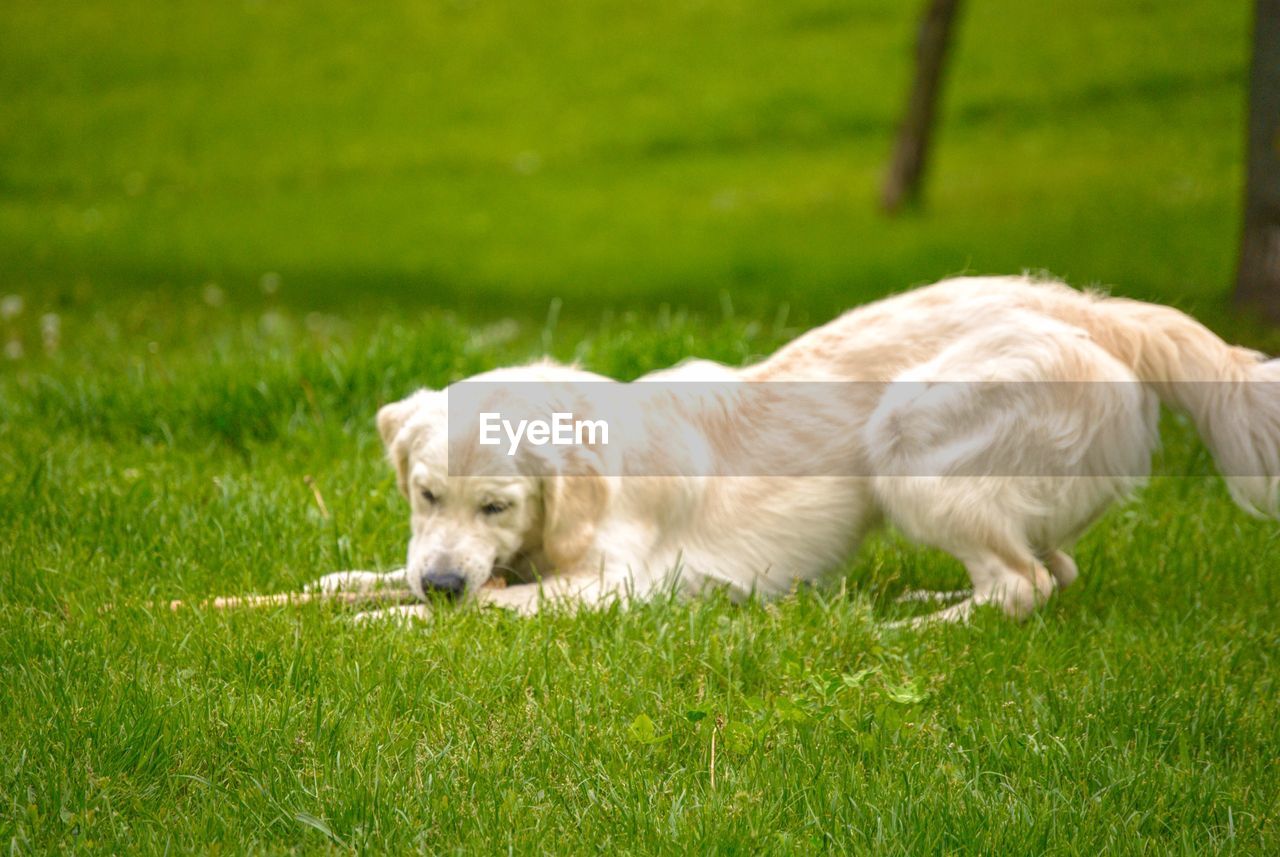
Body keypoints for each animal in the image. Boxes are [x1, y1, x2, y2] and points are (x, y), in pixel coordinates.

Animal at [312, 278, 1280, 626]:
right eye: (423, 494)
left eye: (497, 504)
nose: (442, 578)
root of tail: (1099, 310)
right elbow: (356, 581)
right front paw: (315, 597)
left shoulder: (617, 587)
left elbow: (468, 613)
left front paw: (382, 626)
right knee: (1050, 570)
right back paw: (926, 597)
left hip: (906, 439)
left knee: (1023, 585)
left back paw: (909, 628)